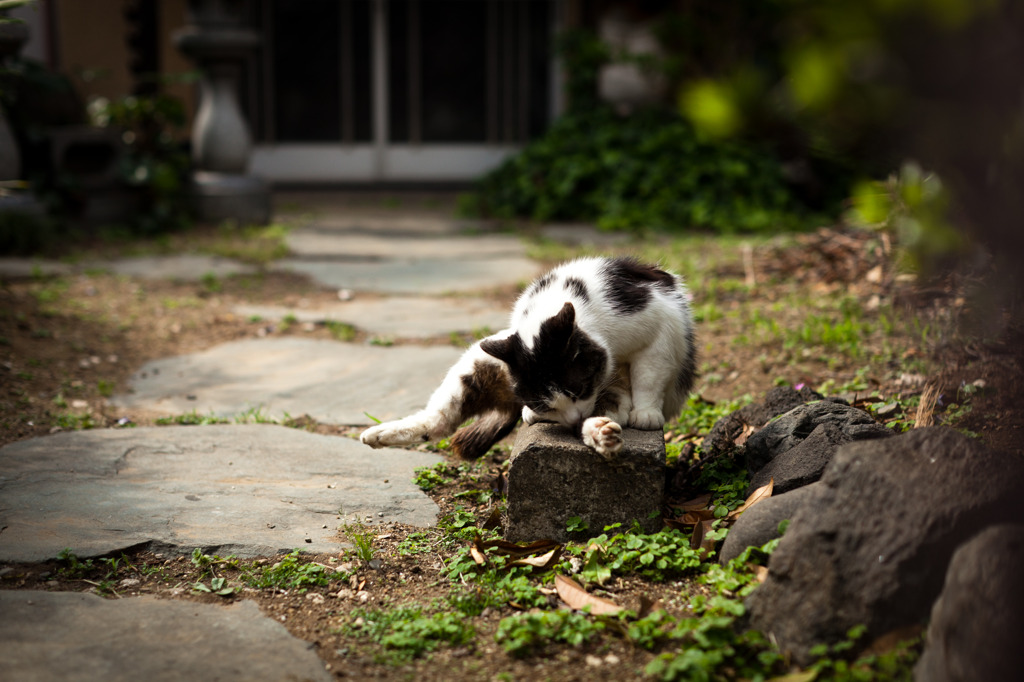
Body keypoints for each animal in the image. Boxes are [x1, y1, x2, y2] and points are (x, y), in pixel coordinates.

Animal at [360, 254, 696, 456]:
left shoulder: (661, 323)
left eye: (577, 390)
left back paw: (605, 432)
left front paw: (647, 413)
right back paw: (379, 433)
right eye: (546, 403)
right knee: (439, 420)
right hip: (478, 359)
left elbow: (649, 375)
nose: (573, 418)